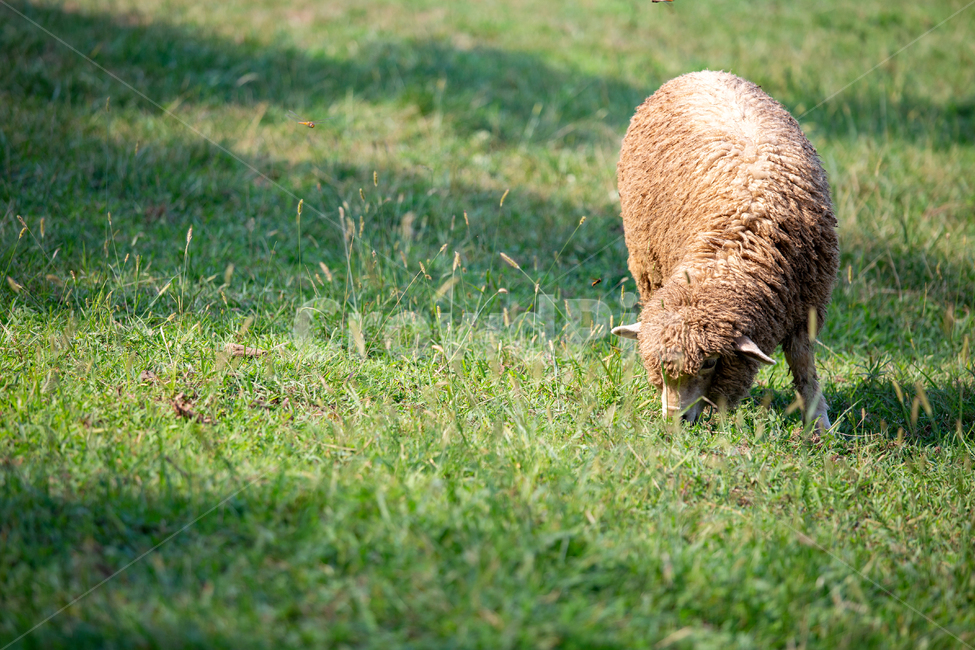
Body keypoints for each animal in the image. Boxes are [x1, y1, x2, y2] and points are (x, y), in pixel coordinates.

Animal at [611, 70, 838, 431]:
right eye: (658, 365)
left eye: (710, 362)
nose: (675, 421)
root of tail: (701, 72)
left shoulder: (808, 306)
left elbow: (803, 364)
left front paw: (819, 424)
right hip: (646, 262)